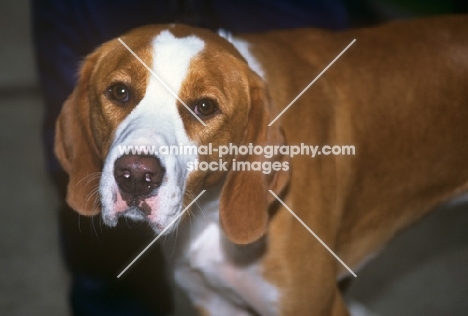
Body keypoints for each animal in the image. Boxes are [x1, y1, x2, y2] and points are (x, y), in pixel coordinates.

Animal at [54, 15, 468, 316]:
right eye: (119, 92)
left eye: (204, 107)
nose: (136, 176)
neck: (209, 212)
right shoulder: (215, 302)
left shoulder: (315, 307)